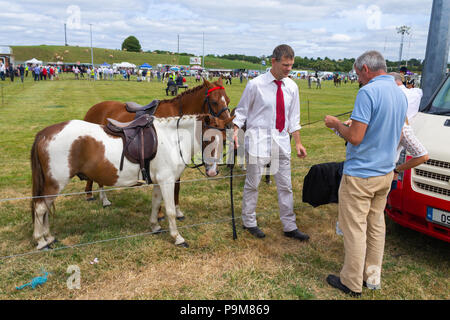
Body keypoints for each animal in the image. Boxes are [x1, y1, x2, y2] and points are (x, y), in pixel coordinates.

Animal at [30, 114, 236, 250]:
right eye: (207, 139)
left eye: (224, 140)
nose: (213, 171)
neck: (173, 140)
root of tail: (44, 133)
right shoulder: (167, 181)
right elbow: (170, 210)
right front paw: (177, 237)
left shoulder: (158, 182)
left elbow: (155, 204)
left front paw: (154, 226)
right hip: (55, 183)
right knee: (40, 208)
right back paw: (41, 241)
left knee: (44, 208)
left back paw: (49, 237)